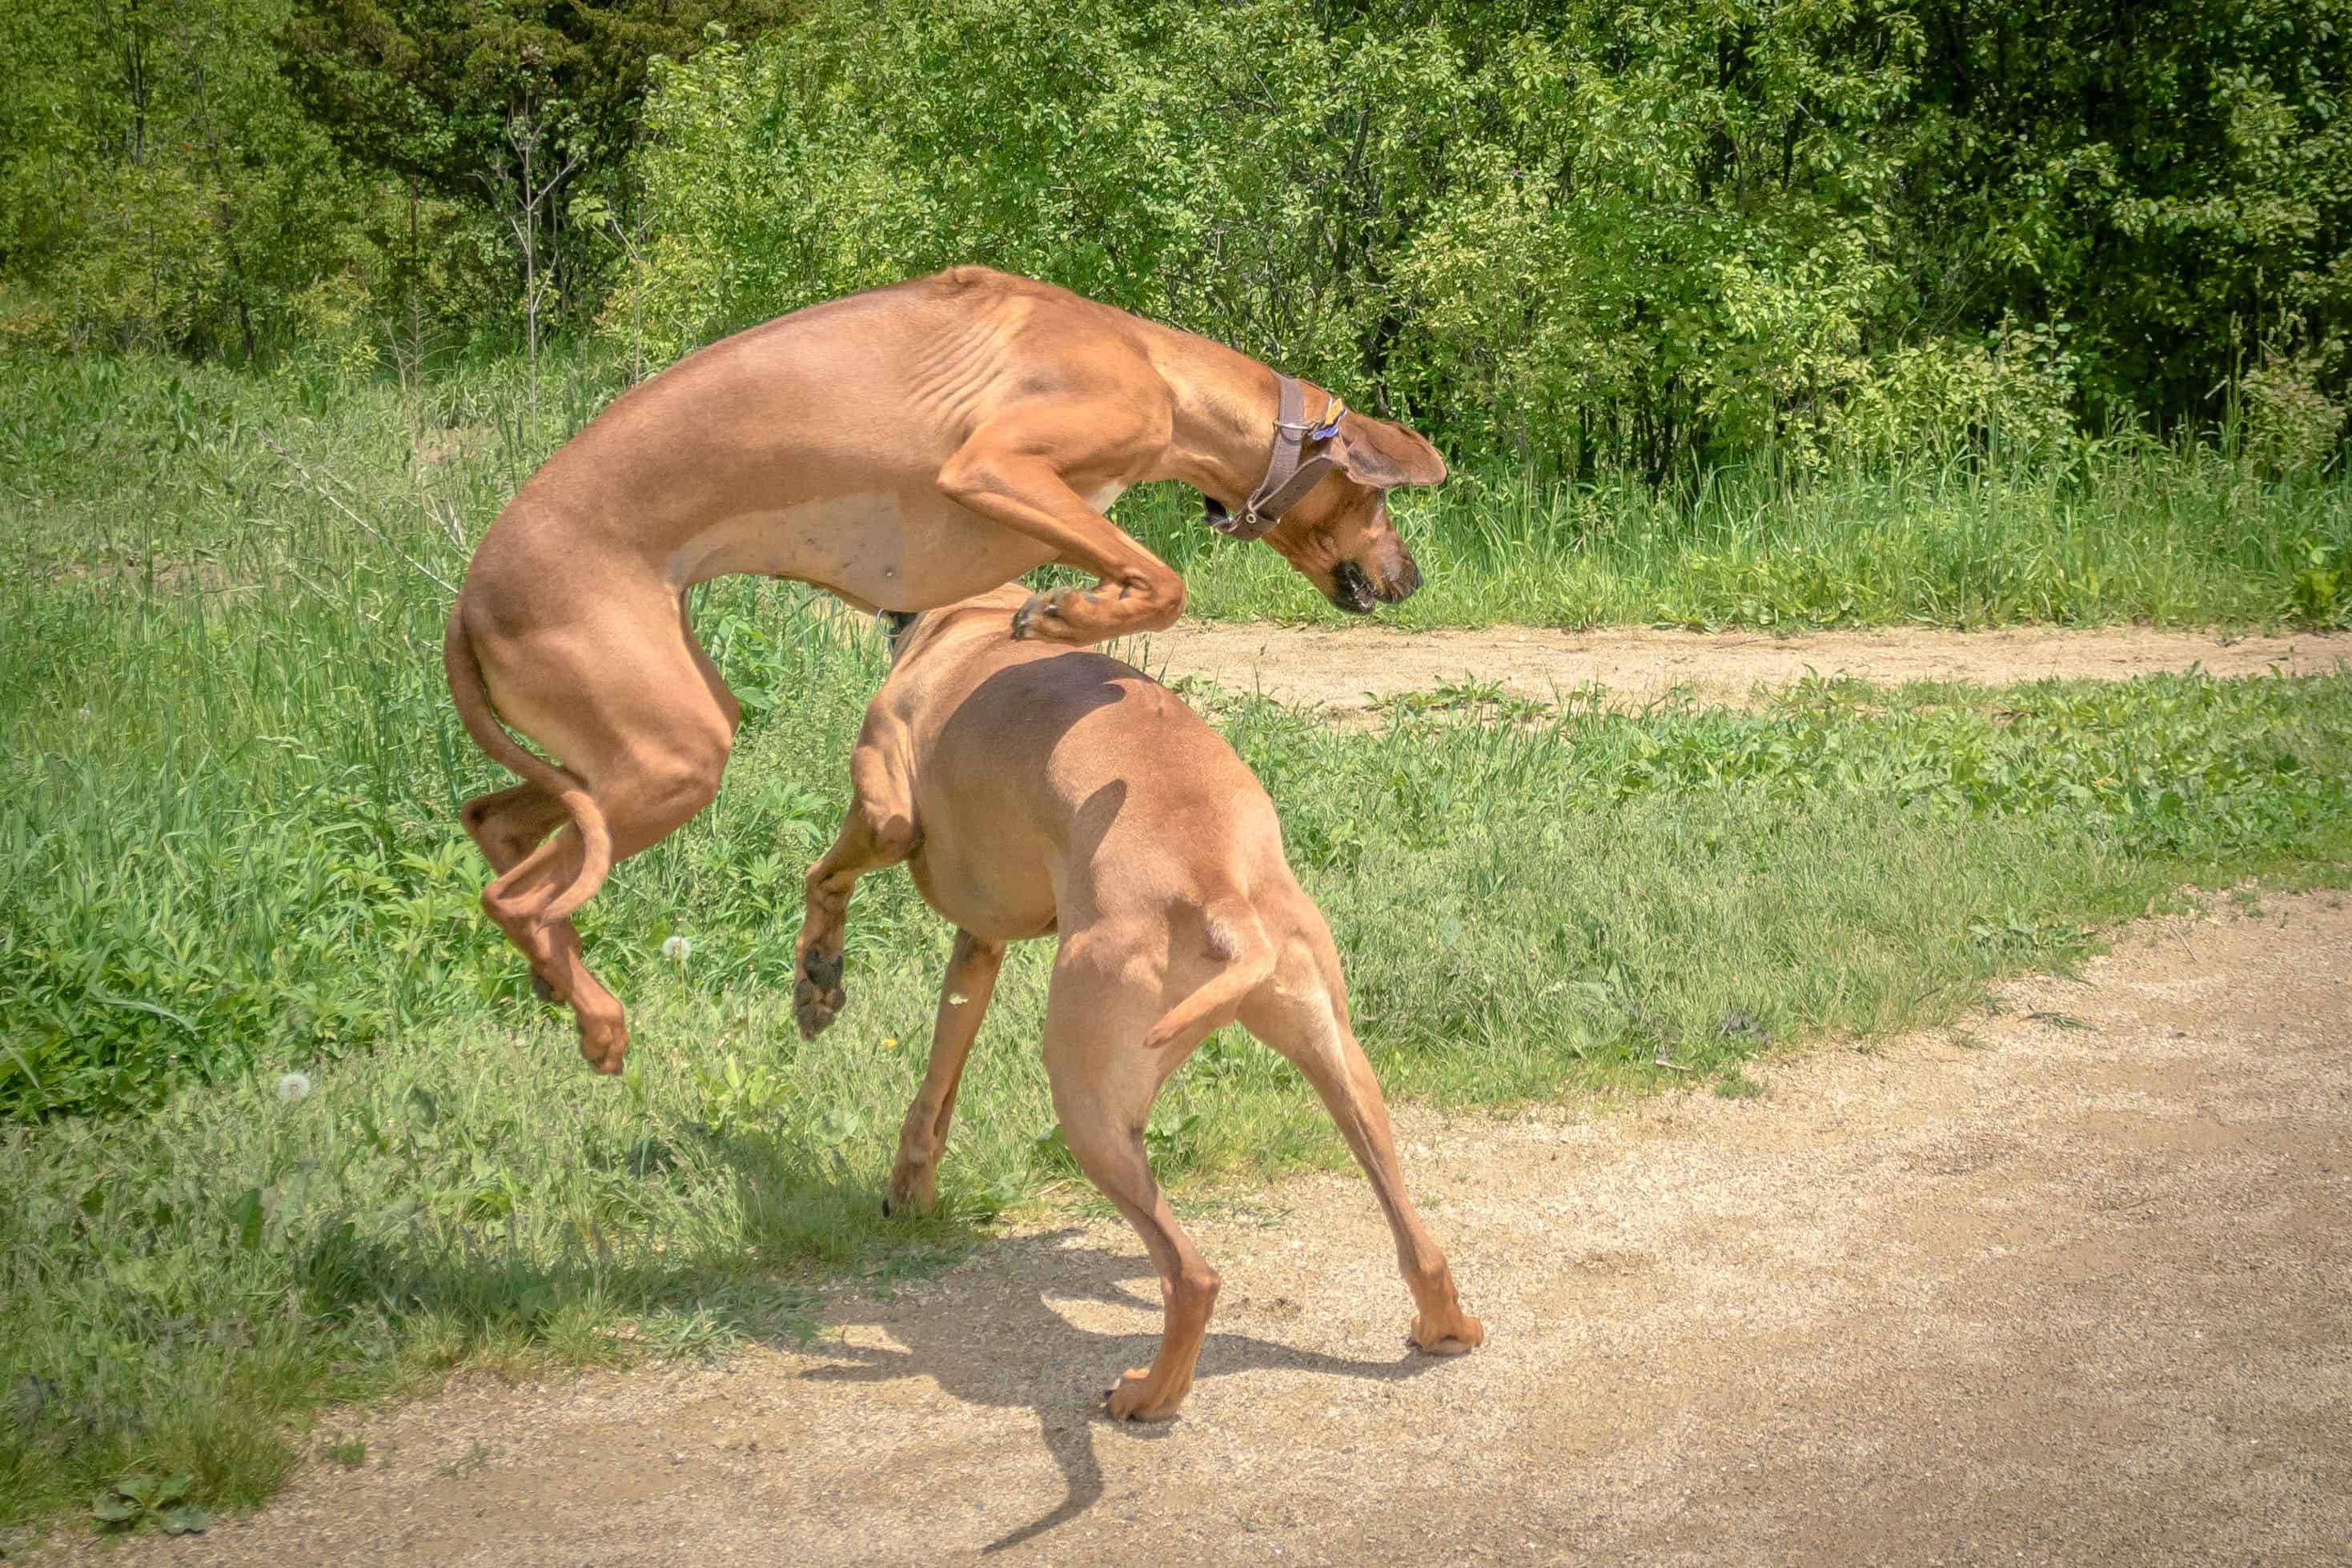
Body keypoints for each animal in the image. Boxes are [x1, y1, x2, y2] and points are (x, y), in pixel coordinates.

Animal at [437, 270, 1430, 1081]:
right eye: (1378, 500)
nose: (1409, 579)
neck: (1153, 363)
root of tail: (466, 601)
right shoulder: (992, 467)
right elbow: (1162, 585)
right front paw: (1063, 615)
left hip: (642, 747)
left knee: (495, 820)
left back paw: (559, 978)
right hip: (670, 755)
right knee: (510, 893)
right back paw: (598, 1020)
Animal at [799, 585, 1477, 1419]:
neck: (975, 619)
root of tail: (1221, 888)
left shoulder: (884, 811)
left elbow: (824, 876)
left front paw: (815, 981)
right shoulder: (978, 947)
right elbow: (938, 1083)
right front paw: (912, 1188)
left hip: (1087, 1103)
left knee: (1192, 1276)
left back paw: (1149, 1394)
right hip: (1342, 1064)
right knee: (1419, 1243)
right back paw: (1447, 1327)